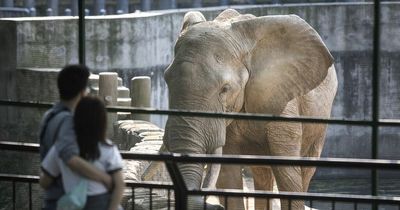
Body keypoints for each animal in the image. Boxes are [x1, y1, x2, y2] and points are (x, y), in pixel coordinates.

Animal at [161, 8, 336, 210]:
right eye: (166, 79)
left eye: (225, 89)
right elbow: (228, 176)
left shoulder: (283, 102)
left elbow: (288, 176)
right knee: (261, 172)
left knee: (304, 169)